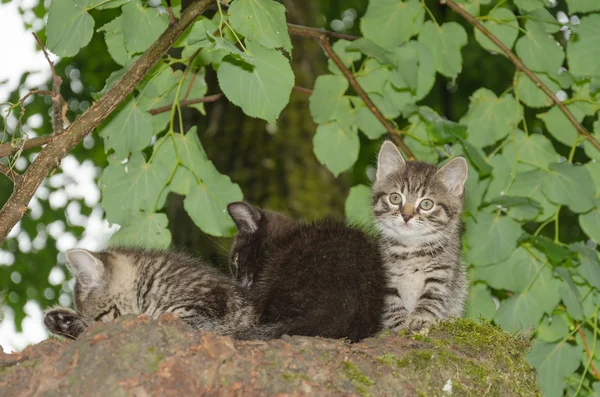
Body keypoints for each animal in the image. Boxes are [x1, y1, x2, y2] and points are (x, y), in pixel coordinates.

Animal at [376, 141, 468, 332]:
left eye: (426, 204)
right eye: (395, 198)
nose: (406, 215)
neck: (411, 248)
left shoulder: (442, 272)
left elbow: (431, 297)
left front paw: (420, 319)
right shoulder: (385, 273)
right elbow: (391, 301)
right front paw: (400, 323)